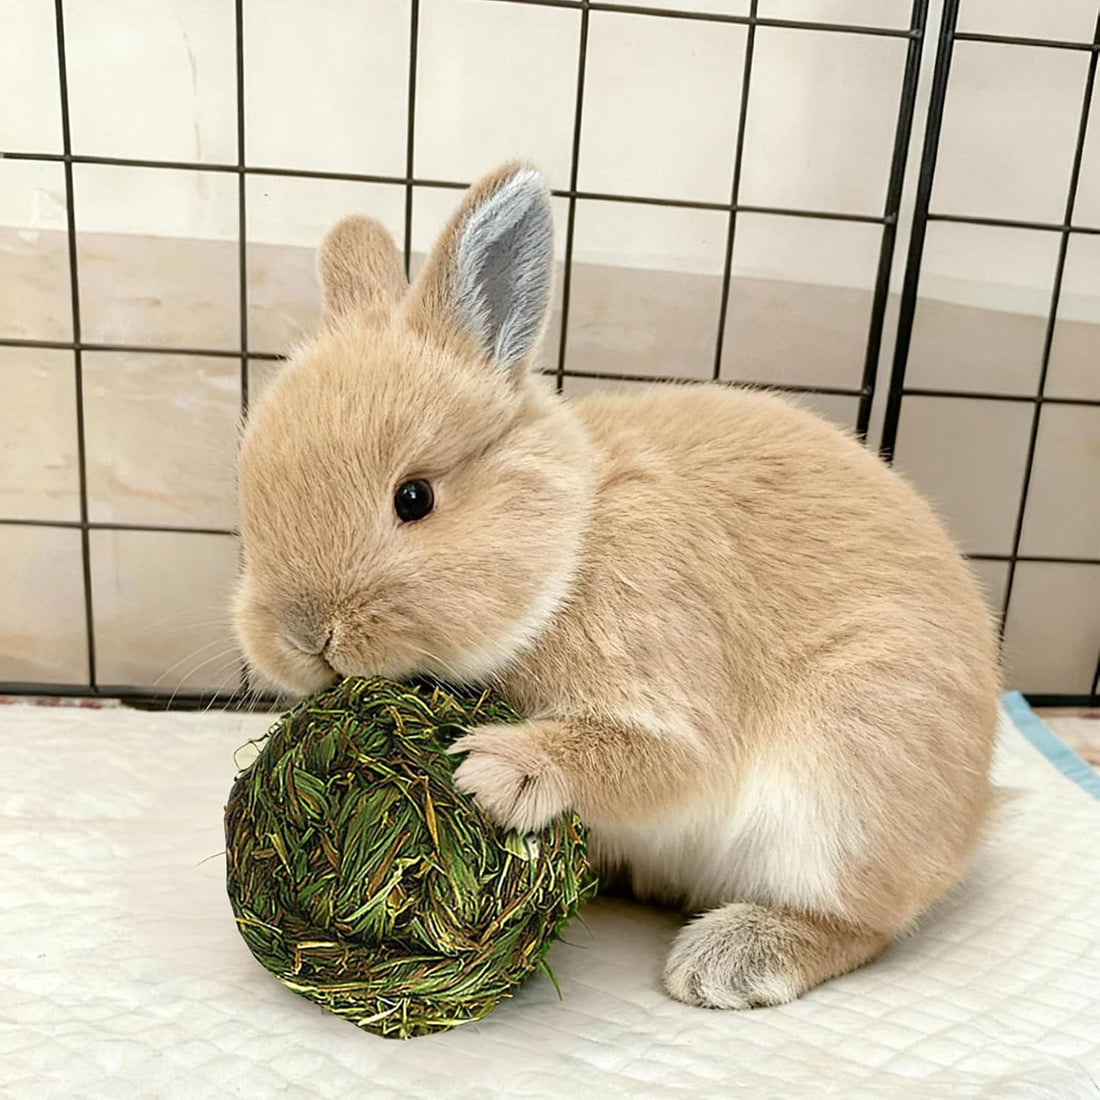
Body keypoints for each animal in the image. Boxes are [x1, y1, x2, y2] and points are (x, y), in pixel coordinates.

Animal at [234, 162, 1001, 1010]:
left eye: (414, 498)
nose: (303, 636)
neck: (574, 546)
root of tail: (974, 816)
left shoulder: (671, 679)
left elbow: (653, 757)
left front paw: (497, 772)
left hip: (845, 793)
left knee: (863, 927)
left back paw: (730, 959)